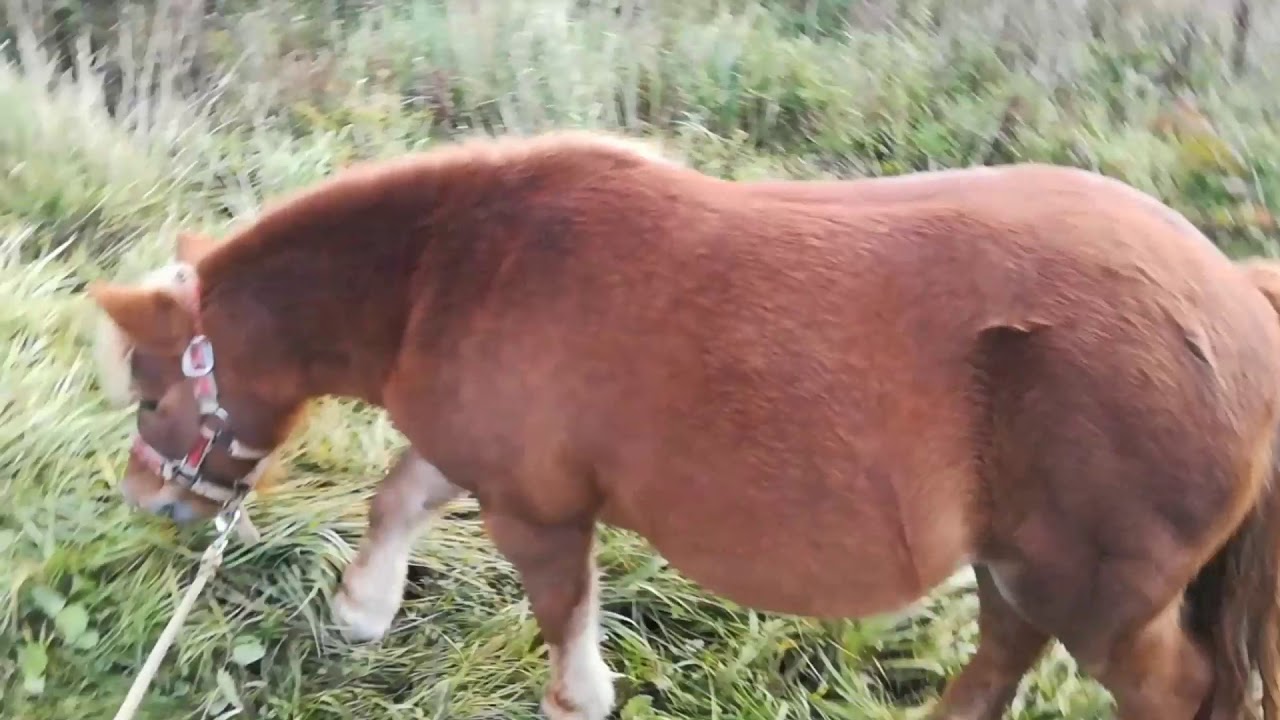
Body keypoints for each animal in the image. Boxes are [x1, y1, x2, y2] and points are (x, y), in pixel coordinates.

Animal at [85, 130, 1280, 720]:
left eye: (149, 395)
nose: (144, 499)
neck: (459, 262)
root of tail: (1238, 298)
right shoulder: (478, 454)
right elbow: (401, 495)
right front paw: (364, 610)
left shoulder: (539, 508)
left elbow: (562, 611)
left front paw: (578, 696)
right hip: (1019, 573)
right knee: (997, 663)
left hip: (1099, 602)